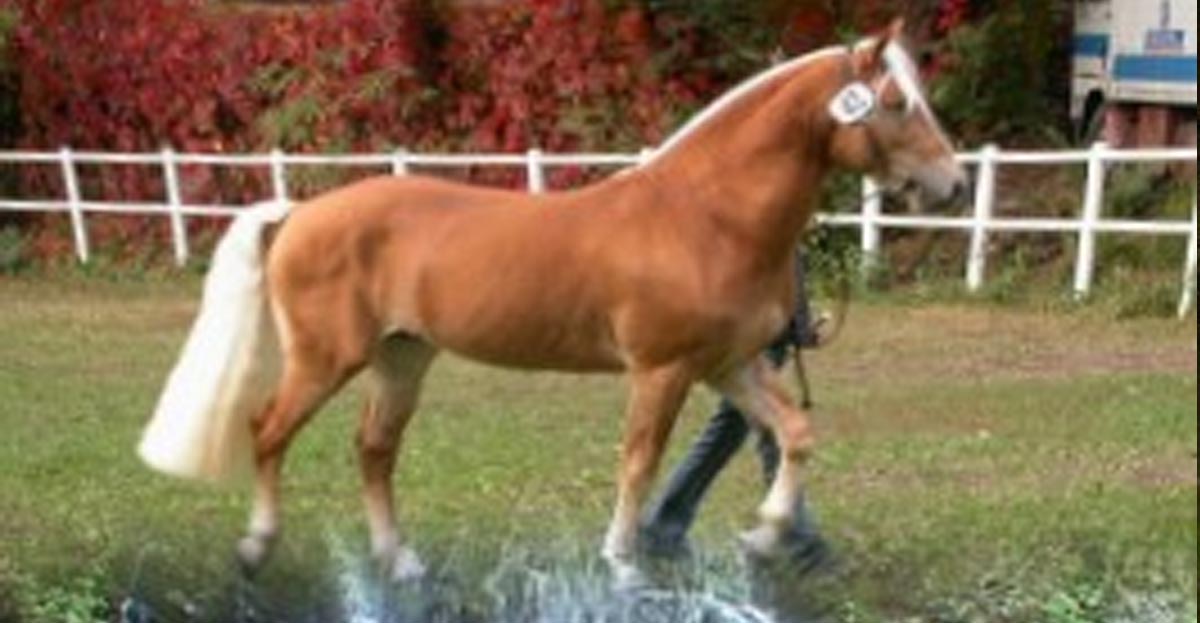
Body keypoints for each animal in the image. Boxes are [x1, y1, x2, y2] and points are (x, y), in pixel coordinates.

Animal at [140, 20, 964, 590]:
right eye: (895, 102)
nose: (952, 185)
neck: (705, 216)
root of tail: (300, 212)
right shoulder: (662, 371)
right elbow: (639, 461)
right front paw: (623, 566)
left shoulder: (726, 367)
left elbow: (794, 433)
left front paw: (762, 538)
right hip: (324, 360)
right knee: (268, 431)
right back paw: (256, 549)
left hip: (402, 359)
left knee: (373, 450)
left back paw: (400, 562)